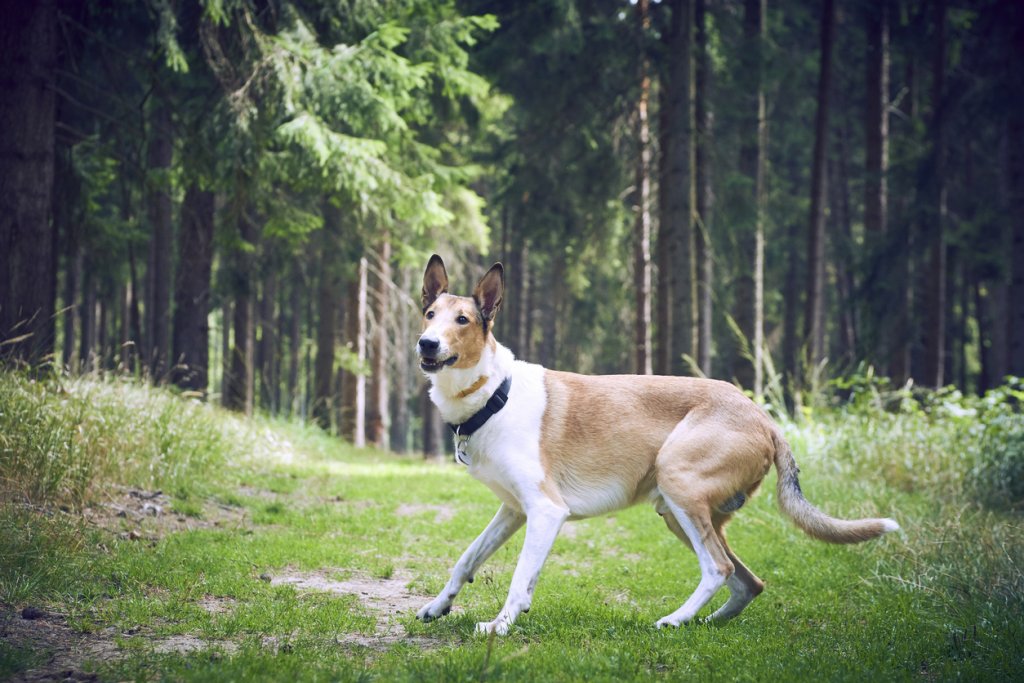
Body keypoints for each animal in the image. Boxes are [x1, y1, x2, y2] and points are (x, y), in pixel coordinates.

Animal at [413, 254, 897, 634]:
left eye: (463, 320)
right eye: (430, 313)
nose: (426, 343)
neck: (495, 394)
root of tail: (764, 417)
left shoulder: (546, 510)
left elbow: (518, 579)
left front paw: (500, 624)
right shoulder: (514, 510)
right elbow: (466, 559)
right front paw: (438, 606)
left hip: (678, 484)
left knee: (718, 568)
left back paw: (675, 619)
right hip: (679, 513)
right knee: (748, 581)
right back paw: (704, 623)